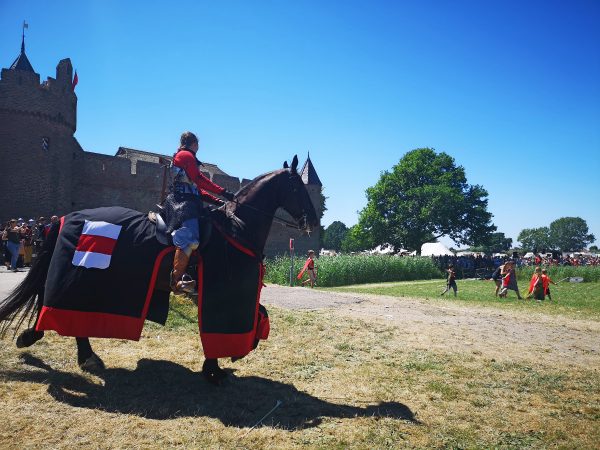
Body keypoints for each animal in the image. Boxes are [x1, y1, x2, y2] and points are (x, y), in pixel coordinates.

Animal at [0, 156, 318, 384]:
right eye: (298, 188)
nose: (313, 221)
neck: (236, 227)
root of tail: (66, 218)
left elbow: (261, 314)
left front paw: (222, 362)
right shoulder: (219, 293)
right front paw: (216, 368)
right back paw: (67, 348)